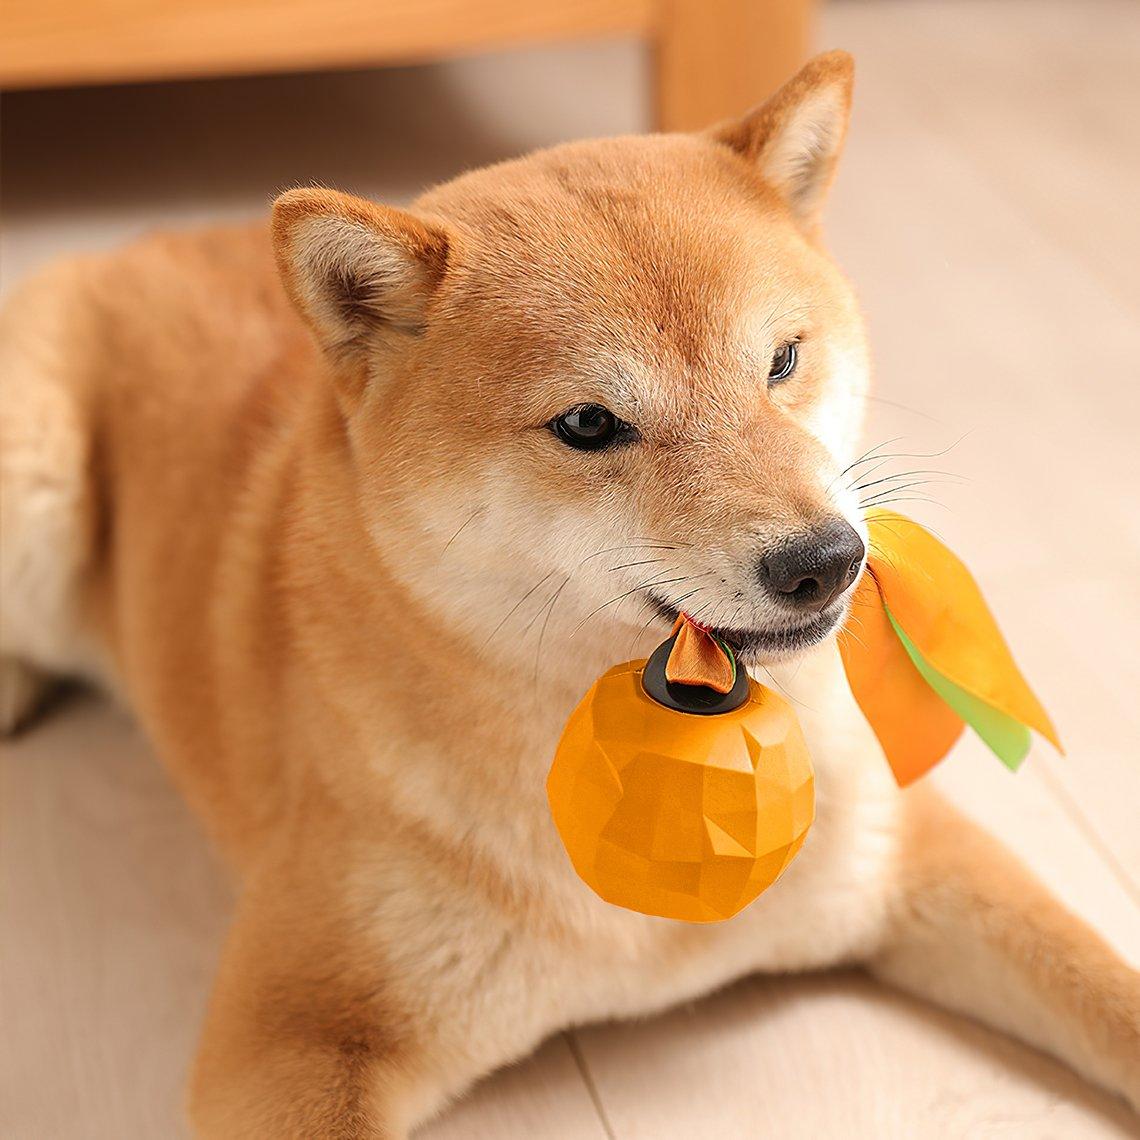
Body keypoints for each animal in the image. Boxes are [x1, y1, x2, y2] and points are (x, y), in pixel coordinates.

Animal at [2, 53, 1140, 1140]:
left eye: (783, 360)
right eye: (590, 425)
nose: (825, 560)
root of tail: (138, 238)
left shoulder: (914, 858)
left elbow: (1108, 992)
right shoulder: (293, 1037)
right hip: (35, 478)